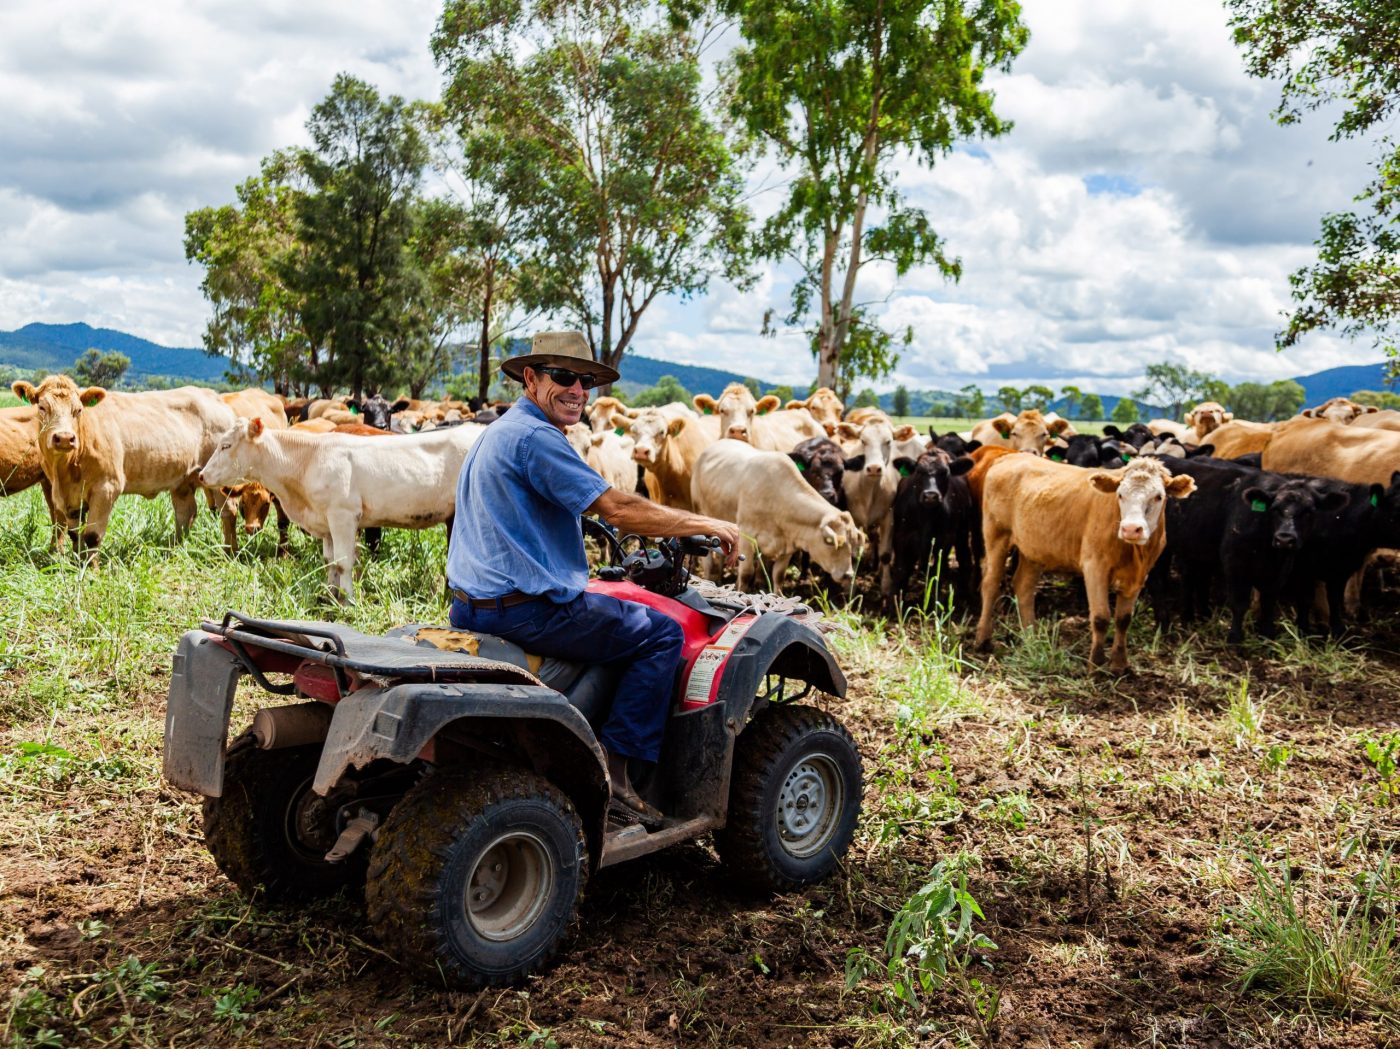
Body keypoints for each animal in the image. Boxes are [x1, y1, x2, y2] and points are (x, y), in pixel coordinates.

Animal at [12, 378, 235, 557]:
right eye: (42, 407)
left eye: (78, 410)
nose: (65, 438)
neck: (65, 470)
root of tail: (214, 397)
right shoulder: (69, 498)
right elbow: (75, 535)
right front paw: (75, 563)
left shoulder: (106, 488)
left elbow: (92, 536)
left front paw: (90, 571)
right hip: (183, 482)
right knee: (185, 514)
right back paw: (174, 549)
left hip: (219, 479)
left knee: (228, 512)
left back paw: (229, 552)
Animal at [688, 436, 862, 593]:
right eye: (830, 542)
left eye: (852, 543)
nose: (847, 575)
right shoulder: (745, 535)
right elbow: (746, 573)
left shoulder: (789, 544)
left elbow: (778, 576)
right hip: (700, 511)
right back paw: (710, 577)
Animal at [884, 445, 974, 610]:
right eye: (919, 471)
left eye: (945, 472)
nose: (931, 495)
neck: (927, 515)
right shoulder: (902, 537)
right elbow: (901, 570)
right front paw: (894, 605)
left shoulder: (944, 540)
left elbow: (936, 572)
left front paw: (935, 604)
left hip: (962, 532)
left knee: (964, 558)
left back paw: (964, 596)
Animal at [974, 456, 1192, 672]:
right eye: (1120, 495)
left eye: (1158, 496)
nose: (1131, 529)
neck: (1133, 553)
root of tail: (1009, 457)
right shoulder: (1094, 566)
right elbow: (1101, 617)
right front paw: (1095, 664)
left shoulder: (1139, 575)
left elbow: (1123, 619)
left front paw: (1119, 664)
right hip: (996, 535)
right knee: (991, 584)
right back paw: (983, 640)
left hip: (1033, 549)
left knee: (1024, 586)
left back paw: (1032, 638)